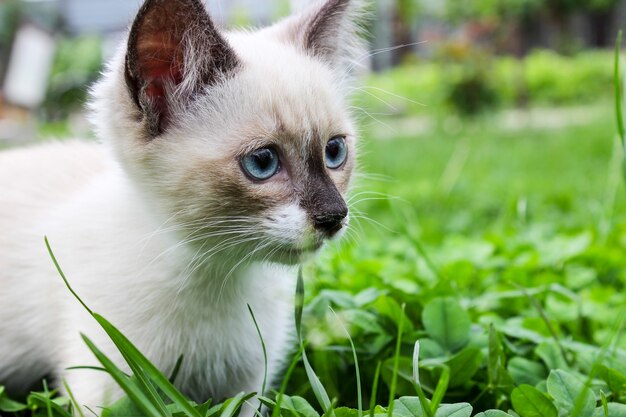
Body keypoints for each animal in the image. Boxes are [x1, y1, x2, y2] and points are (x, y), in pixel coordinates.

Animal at [0, 0, 366, 410]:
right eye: (263, 162)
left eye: (334, 151)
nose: (334, 216)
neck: (218, 274)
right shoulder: (107, 386)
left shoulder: (247, 388)